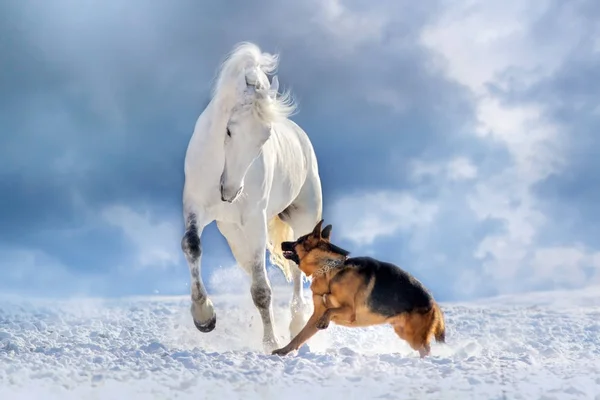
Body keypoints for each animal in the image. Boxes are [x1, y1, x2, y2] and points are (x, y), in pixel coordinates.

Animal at [180, 42, 324, 352]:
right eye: (228, 129)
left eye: (264, 137)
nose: (230, 192)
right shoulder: (195, 207)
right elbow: (192, 246)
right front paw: (204, 317)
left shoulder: (255, 220)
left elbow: (261, 288)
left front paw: (271, 343)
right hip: (233, 232)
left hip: (303, 215)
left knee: (299, 265)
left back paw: (297, 324)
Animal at [272, 220, 446, 358]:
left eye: (298, 241)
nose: (281, 243)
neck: (329, 270)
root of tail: (433, 301)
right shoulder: (315, 316)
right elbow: (299, 337)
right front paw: (283, 350)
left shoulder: (349, 311)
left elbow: (330, 311)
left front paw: (324, 322)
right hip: (404, 332)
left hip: (414, 335)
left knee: (425, 348)